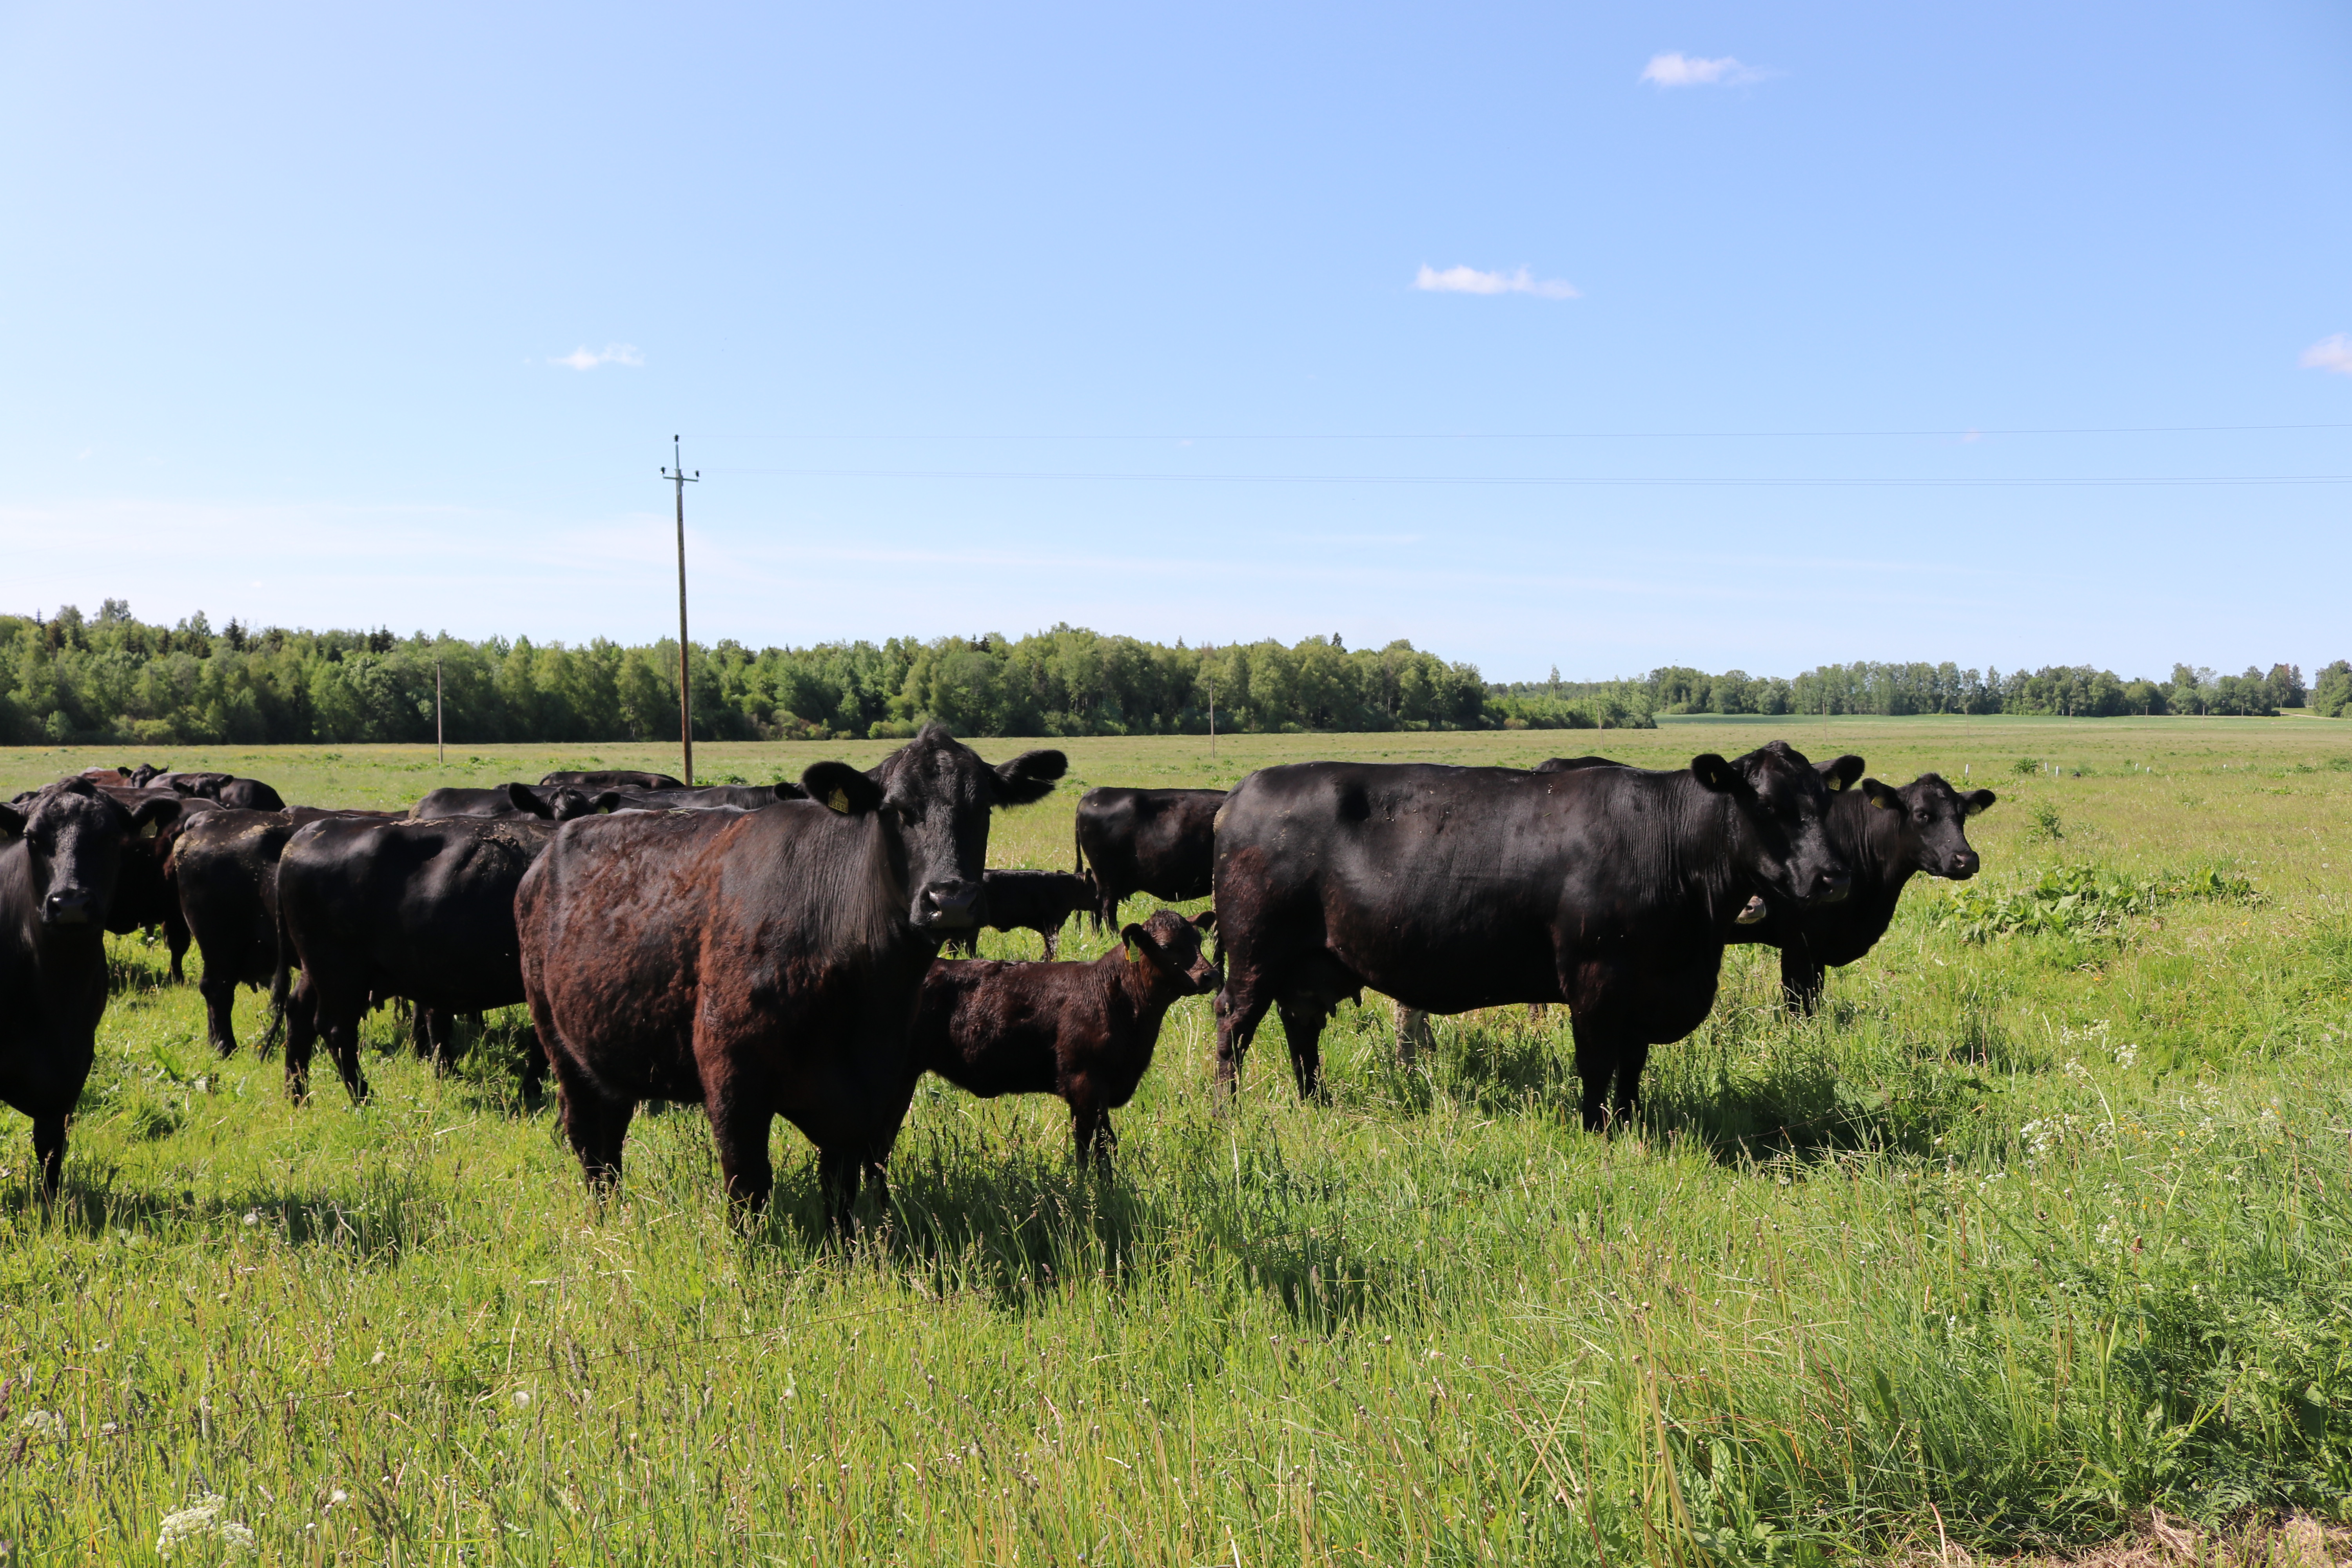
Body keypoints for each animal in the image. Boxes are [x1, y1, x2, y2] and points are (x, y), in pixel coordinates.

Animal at [272, 808, 564, 1105]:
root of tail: (307, 834)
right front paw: (532, 1092)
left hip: (317, 970)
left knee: (299, 1014)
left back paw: (297, 1097)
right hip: (340, 972)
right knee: (335, 1029)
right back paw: (364, 1098)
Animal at [524, 724, 1068, 1222]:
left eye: (984, 808)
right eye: (895, 810)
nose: (950, 900)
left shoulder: (871, 1087)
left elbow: (842, 1193)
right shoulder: (731, 1074)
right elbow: (748, 1186)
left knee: (610, 1133)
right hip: (559, 1043)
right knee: (588, 1139)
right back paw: (604, 1219)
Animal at [1214, 748, 1853, 1128]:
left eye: (1827, 801)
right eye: (1766, 805)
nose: (1832, 877)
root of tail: (1242, 791)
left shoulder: (1644, 990)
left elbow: (1632, 1064)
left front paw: (1630, 1123)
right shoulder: (1596, 980)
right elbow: (1596, 1063)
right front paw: (1597, 1132)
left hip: (1306, 962)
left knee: (1301, 1026)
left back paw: (1315, 1102)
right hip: (1254, 952)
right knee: (1235, 1024)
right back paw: (1227, 1109)